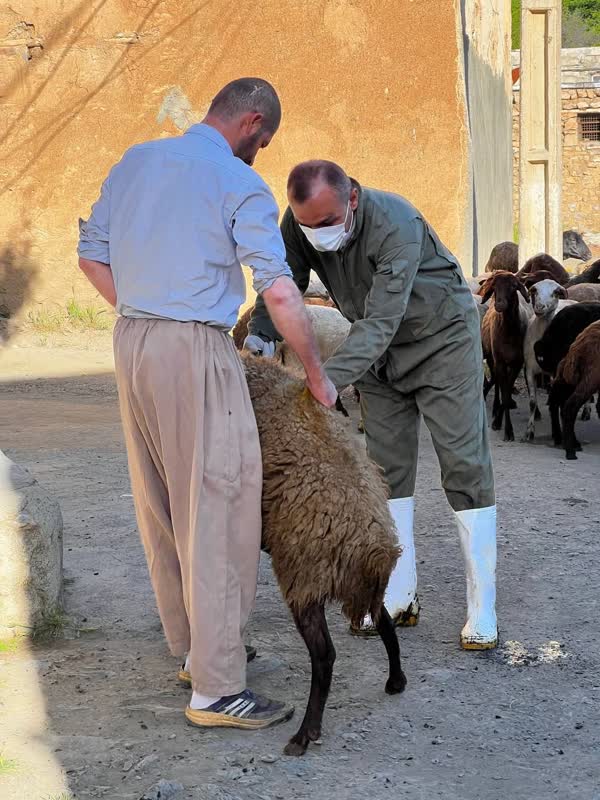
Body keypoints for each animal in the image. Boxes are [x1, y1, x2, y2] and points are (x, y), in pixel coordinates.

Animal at [242, 353, 407, 756]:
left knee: (324, 655)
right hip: (349, 584)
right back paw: (396, 681)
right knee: (384, 621)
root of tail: (376, 547)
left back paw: (305, 733)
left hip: (305, 577)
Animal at [480, 271, 530, 441]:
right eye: (495, 287)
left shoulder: (517, 363)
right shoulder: (500, 361)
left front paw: (505, 426)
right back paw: (495, 407)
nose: (500, 304)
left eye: (514, 286)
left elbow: (507, 394)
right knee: (496, 384)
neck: (509, 331)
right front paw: (503, 427)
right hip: (491, 357)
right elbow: (503, 390)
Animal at [522, 280, 576, 442]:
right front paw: (529, 432)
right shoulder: (529, 369)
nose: (539, 307)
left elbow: (556, 402)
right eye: (535, 291)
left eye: (555, 292)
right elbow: (532, 402)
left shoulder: (555, 372)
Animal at [548, 321, 600, 460]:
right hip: (591, 376)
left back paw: (568, 442)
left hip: (570, 376)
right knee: (570, 405)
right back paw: (570, 451)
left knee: (559, 401)